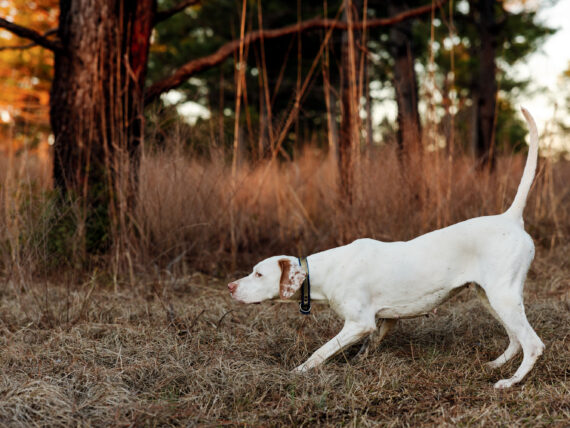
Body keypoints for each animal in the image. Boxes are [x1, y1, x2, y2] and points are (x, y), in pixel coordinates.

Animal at [226, 108, 540, 388]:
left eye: (258, 274)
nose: (230, 286)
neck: (326, 271)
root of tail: (510, 217)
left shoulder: (359, 323)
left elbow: (321, 352)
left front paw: (297, 372)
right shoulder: (384, 320)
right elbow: (368, 345)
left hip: (503, 297)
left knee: (533, 344)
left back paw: (511, 382)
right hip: (490, 297)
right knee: (515, 340)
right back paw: (497, 365)